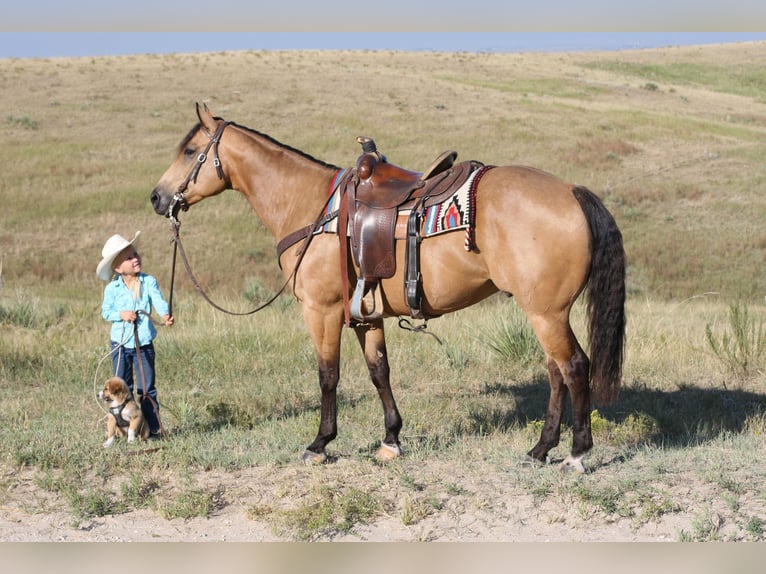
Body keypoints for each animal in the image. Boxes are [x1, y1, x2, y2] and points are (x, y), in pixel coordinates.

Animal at [152, 104, 632, 476]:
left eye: (191, 151)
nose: (157, 198)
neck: (310, 206)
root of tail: (571, 191)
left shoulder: (322, 310)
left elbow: (328, 375)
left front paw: (320, 443)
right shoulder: (365, 314)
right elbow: (378, 371)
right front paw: (391, 439)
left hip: (546, 313)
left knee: (573, 367)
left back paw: (576, 454)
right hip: (544, 312)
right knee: (556, 372)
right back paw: (540, 448)